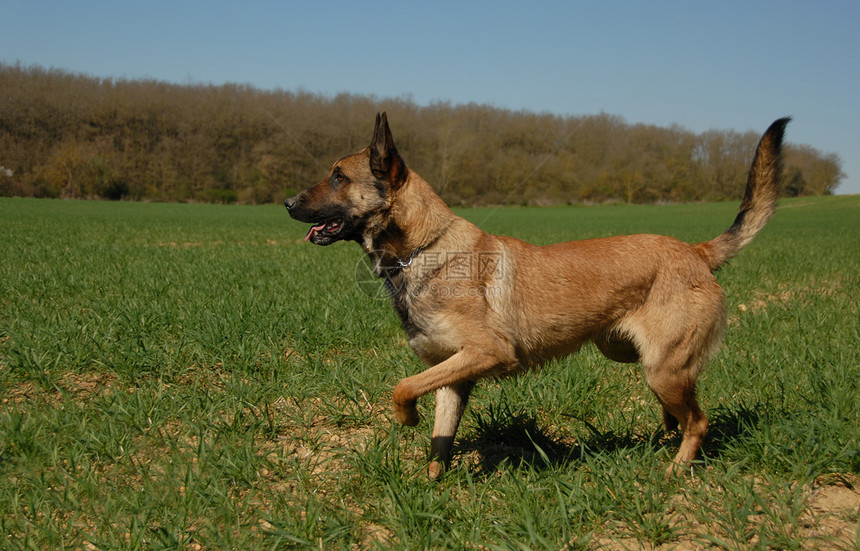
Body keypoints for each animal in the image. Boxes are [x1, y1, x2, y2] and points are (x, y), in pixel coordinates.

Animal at [286, 113, 788, 478]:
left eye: (338, 177)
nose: (288, 204)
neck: (423, 249)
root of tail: (695, 250)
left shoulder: (486, 352)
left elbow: (403, 387)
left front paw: (406, 418)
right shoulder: (452, 375)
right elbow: (440, 441)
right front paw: (429, 490)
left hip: (662, 367)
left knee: (698, 420)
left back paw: (676, 471)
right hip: (636, 357)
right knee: (683, 412)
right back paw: (668, 437)